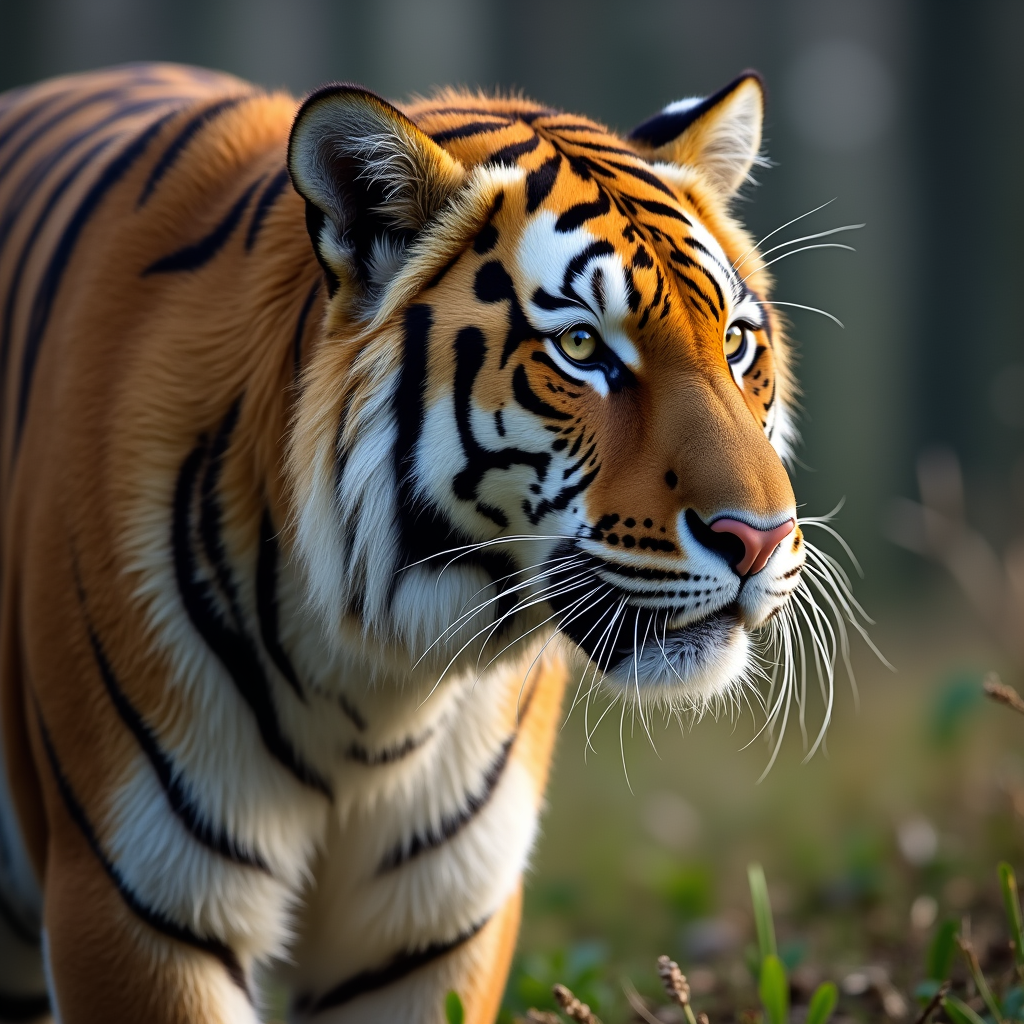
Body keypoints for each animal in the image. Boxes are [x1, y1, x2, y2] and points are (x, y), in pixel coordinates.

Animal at [0, 62, 808, 1022]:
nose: (760, 540)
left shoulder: (430, 931)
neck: (374, 682)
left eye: (736, 341)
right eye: (581, 346)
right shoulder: (135, 912)